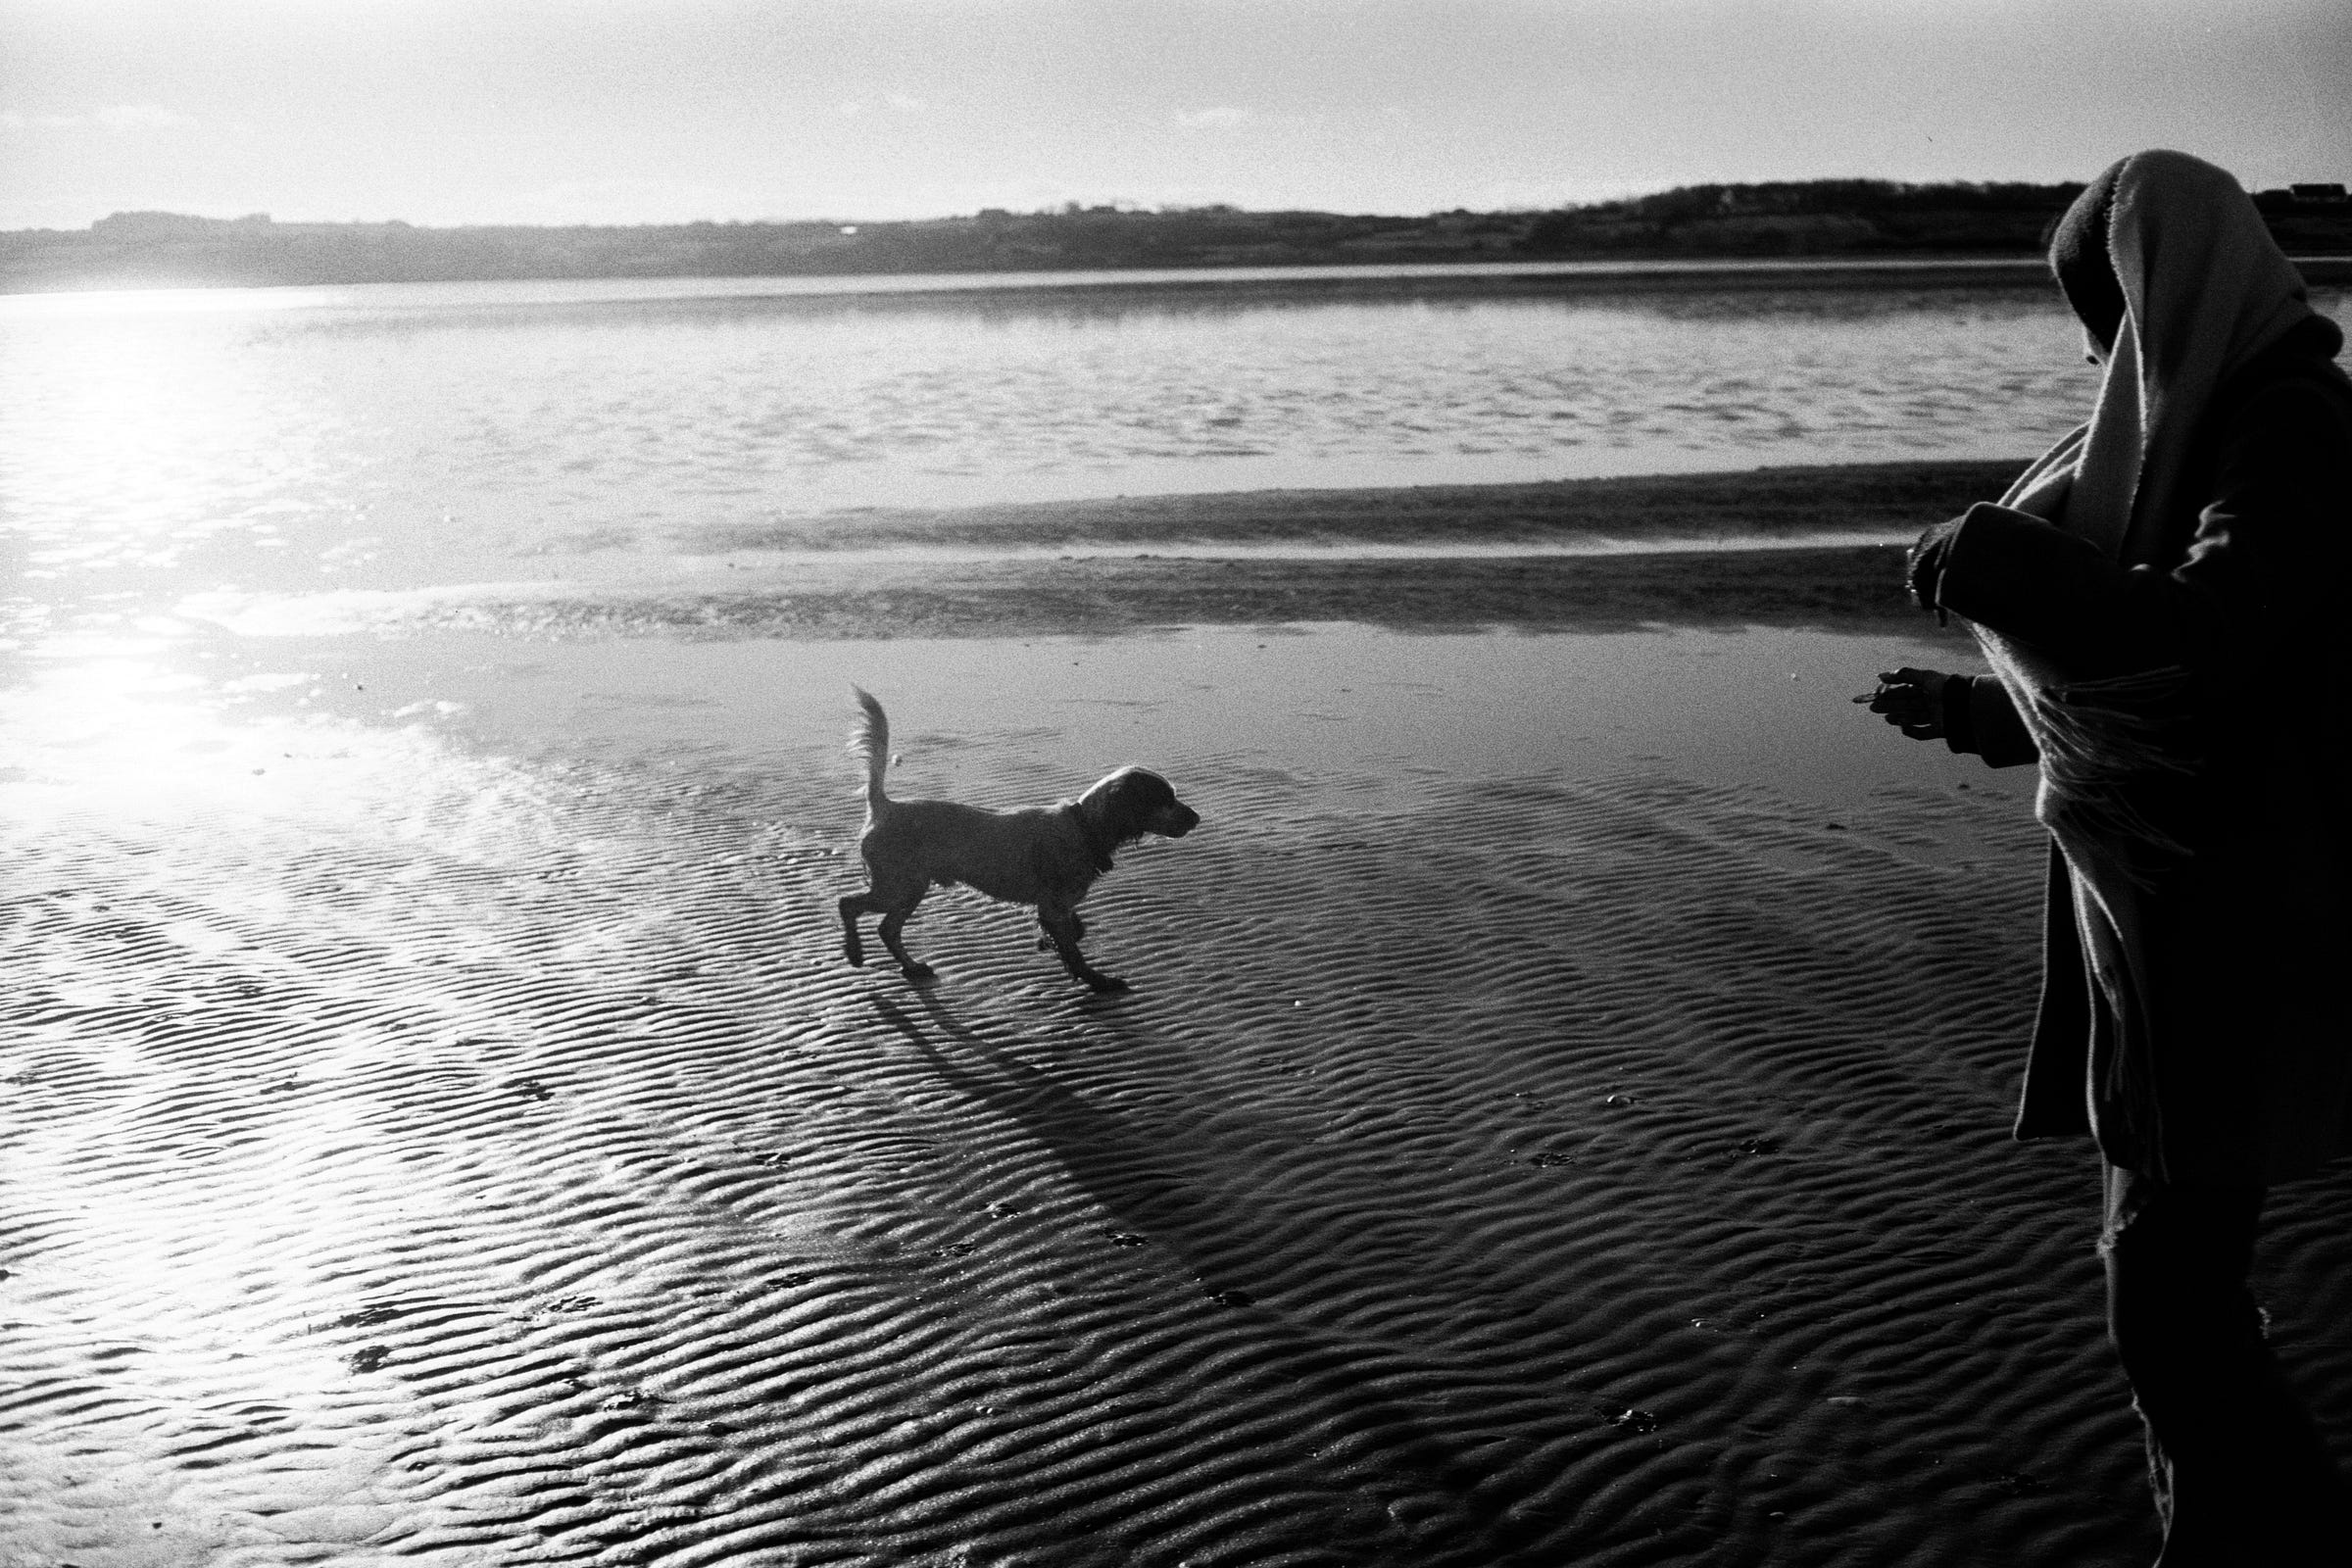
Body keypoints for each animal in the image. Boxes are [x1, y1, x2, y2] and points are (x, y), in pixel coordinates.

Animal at [836, 688, 1199, 993]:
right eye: (1166, 799)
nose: (1196, 818)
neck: (1083, 827)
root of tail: (885, 806)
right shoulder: (1054, 906)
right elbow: (1074, 951)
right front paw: (1098, 981)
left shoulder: (1056, 906)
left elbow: (1073, 931)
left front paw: (1051, 943)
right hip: (898, 886)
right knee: (849, 905)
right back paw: (855, 953)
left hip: (910, 888)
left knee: (887, 928)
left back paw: (911, 966)